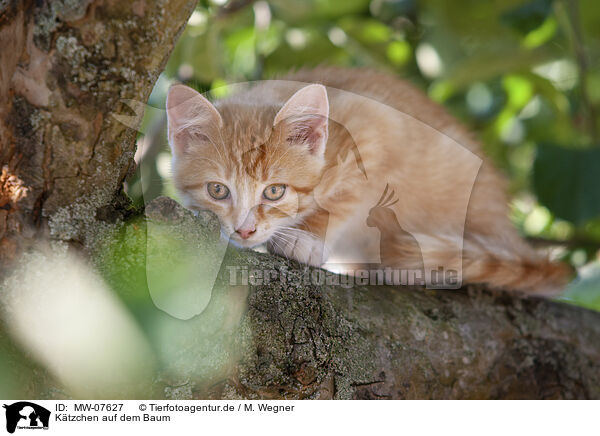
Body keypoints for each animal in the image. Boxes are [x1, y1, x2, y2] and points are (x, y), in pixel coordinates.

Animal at [164, 66, 572, 294]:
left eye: (275, 191)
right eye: (218, 190)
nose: (245, 231)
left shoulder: (378, 126)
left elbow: (347, 199)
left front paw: (305, 237)